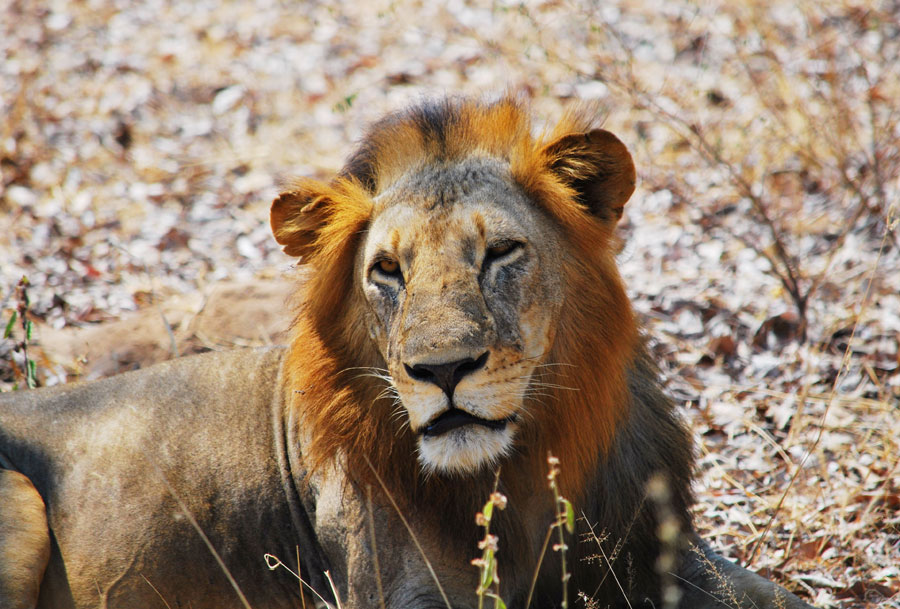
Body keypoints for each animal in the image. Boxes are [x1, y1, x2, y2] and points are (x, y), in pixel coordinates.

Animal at [0, 97, 814, 609]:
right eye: (387, 270)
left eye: (500, 253)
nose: (443, 371)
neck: (525, 460)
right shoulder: (391, 588)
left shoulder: (655, 552)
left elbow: (778, 597)